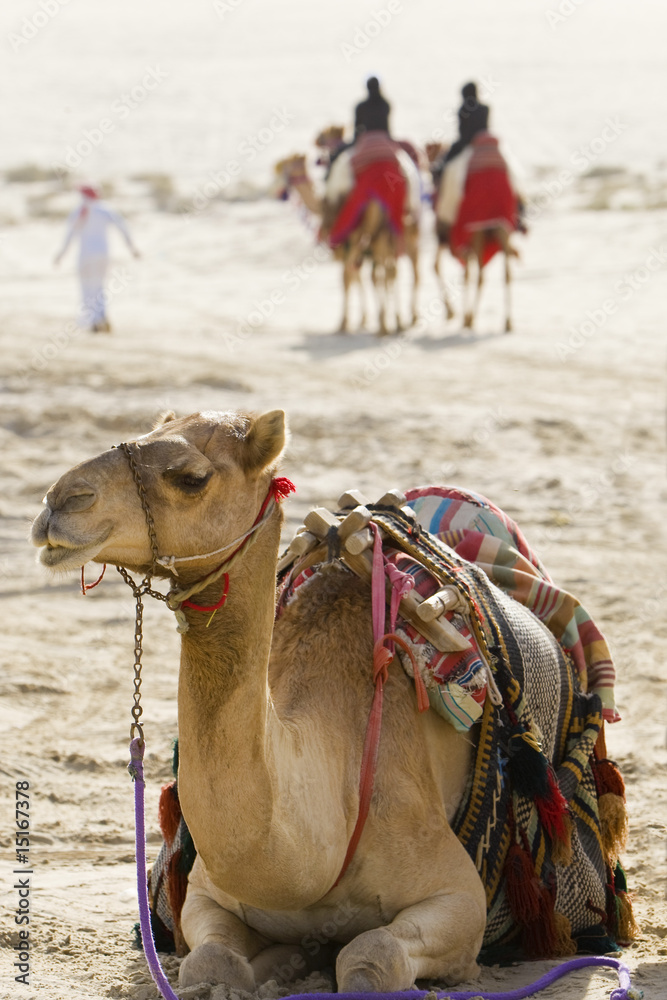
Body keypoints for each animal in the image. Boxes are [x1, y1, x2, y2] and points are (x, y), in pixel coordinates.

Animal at [30, 408, 628, 992]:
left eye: (190, 477)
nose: (58, 502)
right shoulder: (204, 894)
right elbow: (211, 964)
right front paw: (275, 963)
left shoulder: (460, 898)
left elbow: (370, 958)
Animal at [275, 154, 420, 335]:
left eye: (285, 168)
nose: (278, 191)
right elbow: (361, 276)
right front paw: (364, 320)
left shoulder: (347, 243)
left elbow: (348, 278)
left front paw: (345, 323)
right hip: (394, 232)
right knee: (395, 271)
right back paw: (400, 320)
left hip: (373, 235)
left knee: (383, 273)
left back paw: (387, 323)